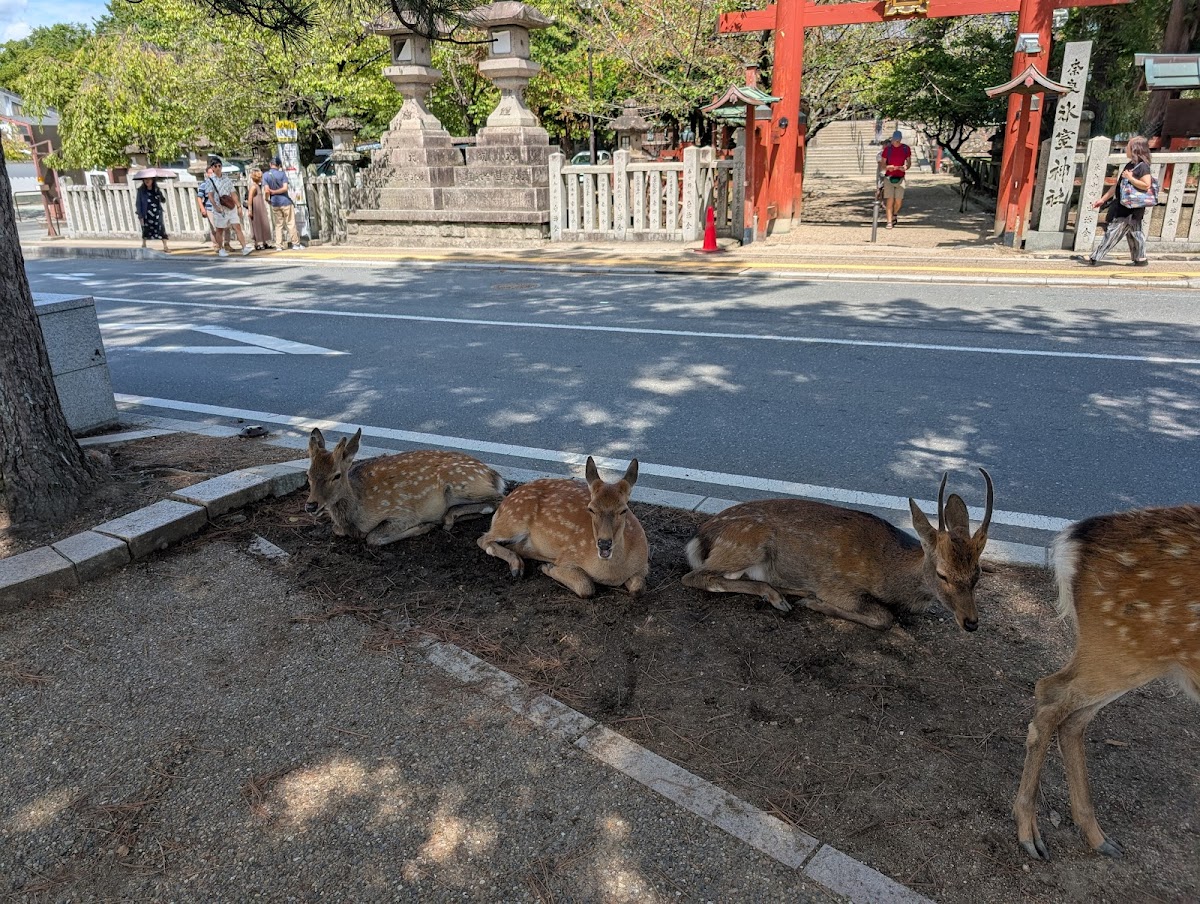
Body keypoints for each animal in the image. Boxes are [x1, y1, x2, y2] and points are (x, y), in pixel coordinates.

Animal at [305, 427, 505, 545]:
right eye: (309, 474)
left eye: (336, 475)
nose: (311, 505)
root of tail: (493, 474)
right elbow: (336, 529)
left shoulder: (402, 512)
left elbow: (372, 538)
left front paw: (424, 527)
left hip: (461, 483)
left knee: (498, 499)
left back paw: (445, 519)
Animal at [477, 457, 648, 598]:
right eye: (591, 508)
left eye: (624, 510)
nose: (604, 543)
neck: (612, 574)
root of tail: (503, 504)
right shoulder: (569, 555)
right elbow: (586, 587)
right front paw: (549, 568)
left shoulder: (644, 565)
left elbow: (638, 589)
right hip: (513, 519)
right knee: (483, 538)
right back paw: (518, 566)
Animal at [681, 469, 994, 632]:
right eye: (942, 574)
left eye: (977, 574)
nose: (971, 622)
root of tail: (701, 535)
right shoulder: (839, 585)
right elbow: (884, 618)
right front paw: (814, 603)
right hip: (749, 543)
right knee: (696, 576)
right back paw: (781, 597)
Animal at [1013, 505, 1200, 860]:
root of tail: (1073, 540)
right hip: (1126, 649)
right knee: (1051, 694)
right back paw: (1029, 833)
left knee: (1070, 715)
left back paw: (1098, 836)